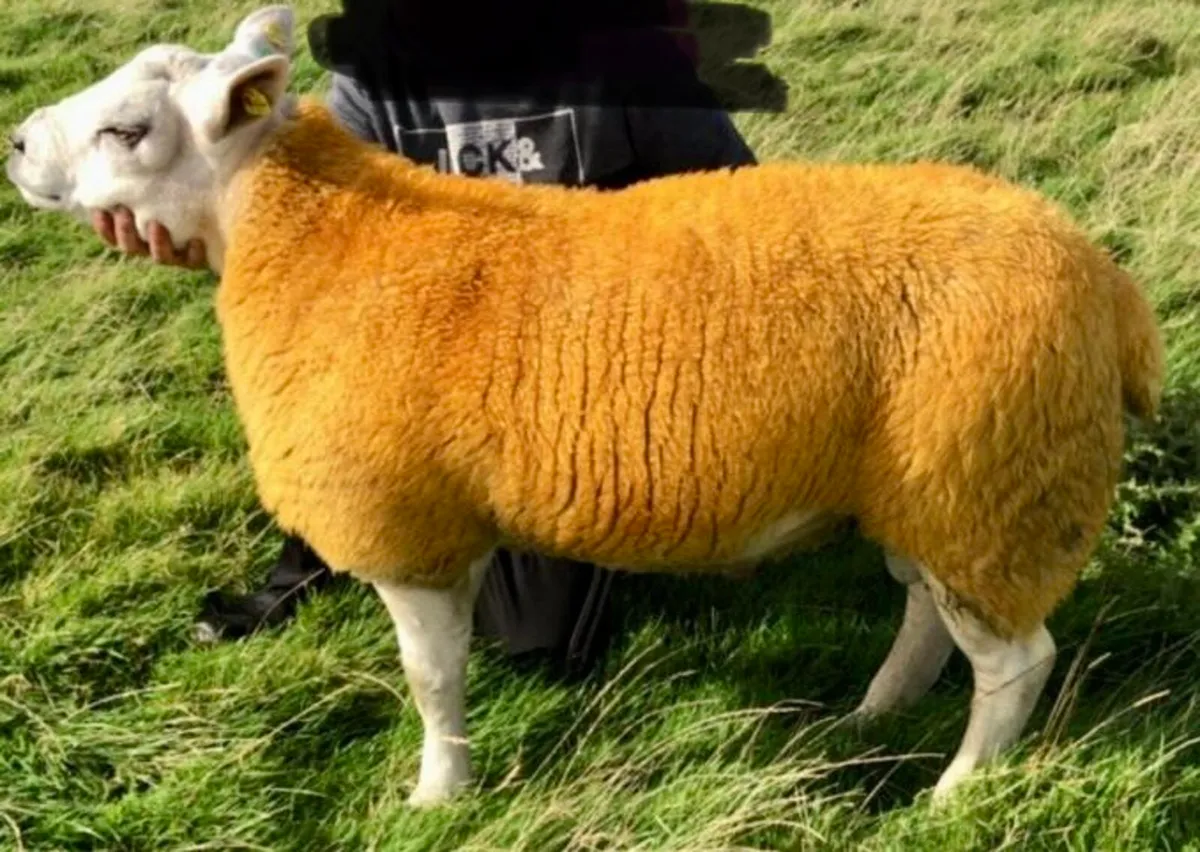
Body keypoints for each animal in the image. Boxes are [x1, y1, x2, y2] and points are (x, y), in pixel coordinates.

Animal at [6, 4, 1165, 807]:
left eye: (126, 131)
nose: (16, 145)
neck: (313, 238)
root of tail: (1109, 287)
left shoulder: (406, 528)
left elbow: (431, 681)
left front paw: (438, 795)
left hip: (995, 478)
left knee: (1016, 663)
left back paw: (955, 793)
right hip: (939, 485)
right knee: (931, 614)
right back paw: (875, 714)